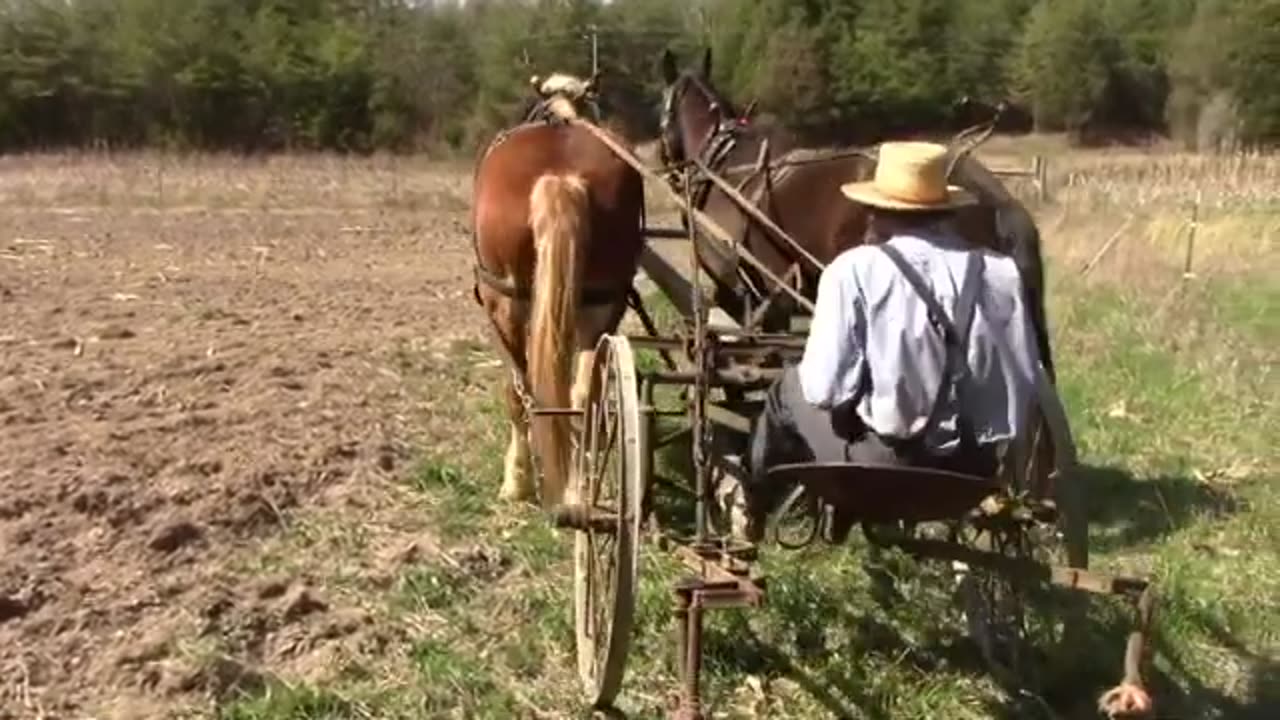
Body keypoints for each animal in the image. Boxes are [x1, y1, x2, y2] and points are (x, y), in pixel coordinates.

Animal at [471, 74, 645, 504]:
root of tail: (561, 179)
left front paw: (515, 481)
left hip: (505, 301)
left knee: (521, 392)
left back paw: (518, 481)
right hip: (602, 303)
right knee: (584, 395)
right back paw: (577, 486)